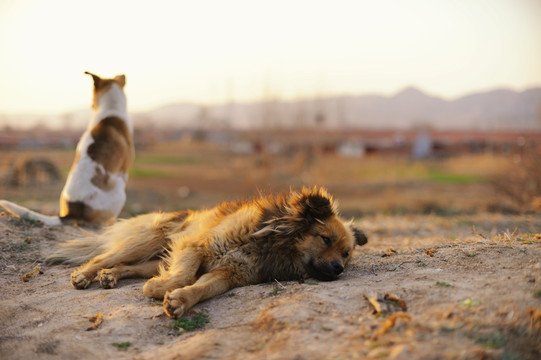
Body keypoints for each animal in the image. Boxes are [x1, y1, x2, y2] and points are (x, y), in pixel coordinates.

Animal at [46, 187, 368, 320]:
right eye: (324, 239)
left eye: (346, 254)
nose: (339, 269)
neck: (271, 243)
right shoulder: (197, 247)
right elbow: (185, 276)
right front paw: (161, 290)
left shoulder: (228, 274)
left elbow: (200, 287)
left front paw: (178, 300)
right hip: (151, 240)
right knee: (105, 257)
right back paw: (85, 275)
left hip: (158, 257)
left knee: (127, 266)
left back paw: (111, 277)